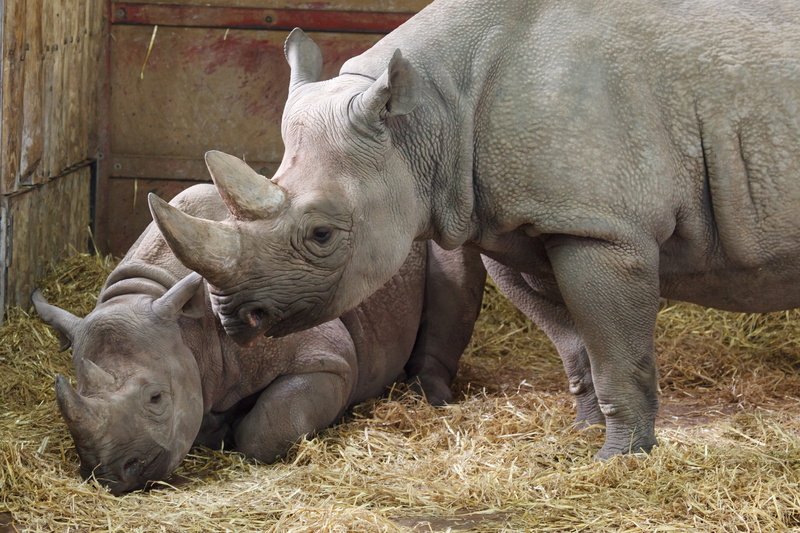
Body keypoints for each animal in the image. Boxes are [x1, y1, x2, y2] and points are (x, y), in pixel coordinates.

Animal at [32, 184, 485, 494]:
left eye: (157, 398)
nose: (111, 476)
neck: (187, 326)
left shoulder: (327, 359)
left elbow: (263, 430)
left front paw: (233, 432)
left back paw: (429, 397)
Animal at [148, 0, 800, 459]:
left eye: (323, 236)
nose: (233, 318)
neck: (428, 117)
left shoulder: (604, 229)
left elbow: (617, 352)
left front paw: (619, 460)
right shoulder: (522, 223)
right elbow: (575, 343)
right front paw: (582, 434)